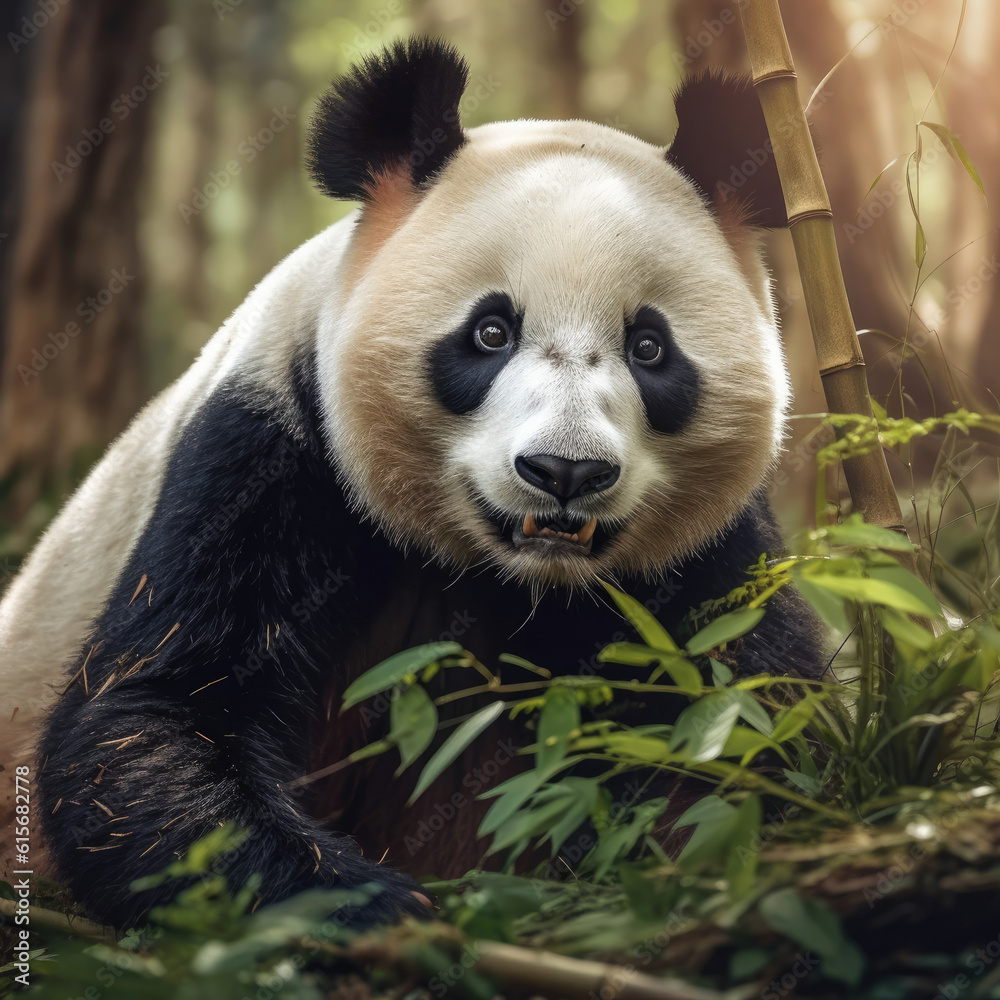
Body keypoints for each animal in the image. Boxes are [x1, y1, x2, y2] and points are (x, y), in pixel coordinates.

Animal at [0, 39, 820, 928]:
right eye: (490, 332)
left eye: (649, 348)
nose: (565, 472)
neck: (516, 580)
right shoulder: (271, 453)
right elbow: (148, 717)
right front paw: (379, 907)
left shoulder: (707, 549)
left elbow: (751, 720)